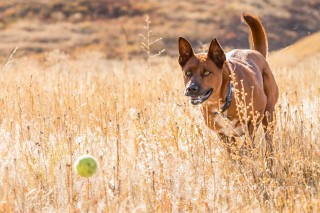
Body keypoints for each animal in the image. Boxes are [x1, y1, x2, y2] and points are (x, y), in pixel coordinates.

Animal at [178, 13, 278, 150]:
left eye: (206, 72)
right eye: (188, 73)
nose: (191, 88)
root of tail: (256, 52)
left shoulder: (256, 115)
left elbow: (247, 143)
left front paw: (246, 151)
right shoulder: (223, 134)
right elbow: (233, 152)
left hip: (269, 113)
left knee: (269, 141)